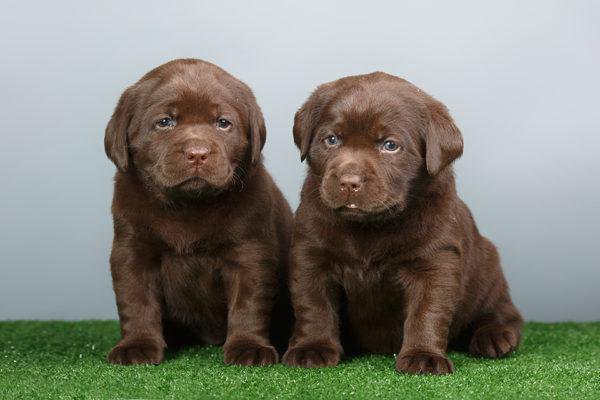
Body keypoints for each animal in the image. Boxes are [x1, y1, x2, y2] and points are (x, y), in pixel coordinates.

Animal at [104, 59, 292, 366]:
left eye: (223, 123)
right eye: (165, 122)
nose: (197, 153)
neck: (189, 206)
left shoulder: (249, 251)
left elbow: (249, 303)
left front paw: (249, 346)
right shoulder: (132, 250)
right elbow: (136, 299)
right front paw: (137, 345)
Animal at [282, 72, 523, 374]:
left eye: (390, 145)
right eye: (332, 140)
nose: (349, 182)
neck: (371, 226)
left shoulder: (435, 262)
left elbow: (427, 310)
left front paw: (424, 356)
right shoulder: (311, 254)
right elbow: (313, 305)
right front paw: (312, 347)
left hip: (488, 271)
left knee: (503, 313)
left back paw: (495, 336)